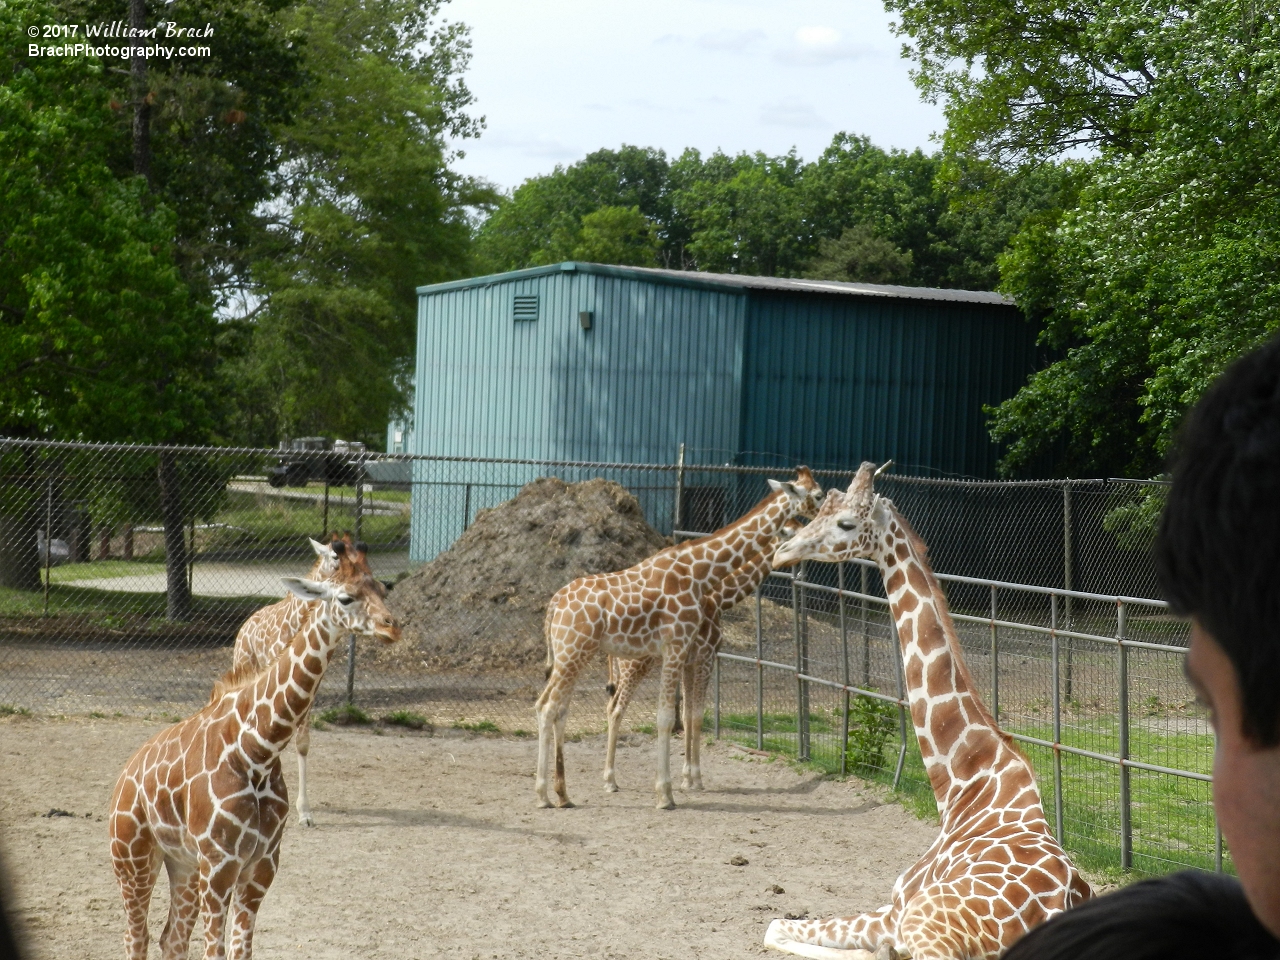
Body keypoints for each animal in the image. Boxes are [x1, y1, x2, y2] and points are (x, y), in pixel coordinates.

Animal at [232, 535, 384, 829]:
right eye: (336, 557)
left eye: (363, 557)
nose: (367, 580)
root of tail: (245, 626)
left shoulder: (309, 687)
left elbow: (302, 743)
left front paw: (305, 811)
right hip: (243, 666)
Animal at [604, 514, 803, 793]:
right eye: (791, 531)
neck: (719, 598)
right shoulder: (706, 657)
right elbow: (697, 716)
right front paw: (696, 778)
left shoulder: (689, 662)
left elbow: (687, 716)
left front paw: (686, 777)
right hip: (636, 665)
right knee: (616, 710)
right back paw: (610, 781)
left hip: (626, 666)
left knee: (610, 705)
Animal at [757, 463, 1090, 957]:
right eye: (819, 510)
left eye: (846, 523)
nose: (782, 551)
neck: (963, 786)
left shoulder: (897, 909)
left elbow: (775, 926)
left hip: (927, 924)